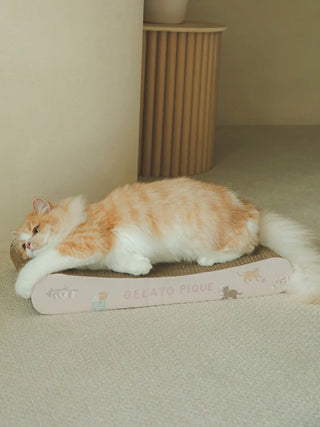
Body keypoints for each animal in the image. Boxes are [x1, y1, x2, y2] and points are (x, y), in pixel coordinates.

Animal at [12, 179, 320, 302]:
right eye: (24, 244)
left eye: (36, 230)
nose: (29, 246)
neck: (79, 216)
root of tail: (251, 207)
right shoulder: (107, 251)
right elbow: (124, 264)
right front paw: (142, 267)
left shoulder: (85, 241)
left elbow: (43, 263)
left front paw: (23, 287)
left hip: (224, 237)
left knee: (246, 246)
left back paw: (208, 258)